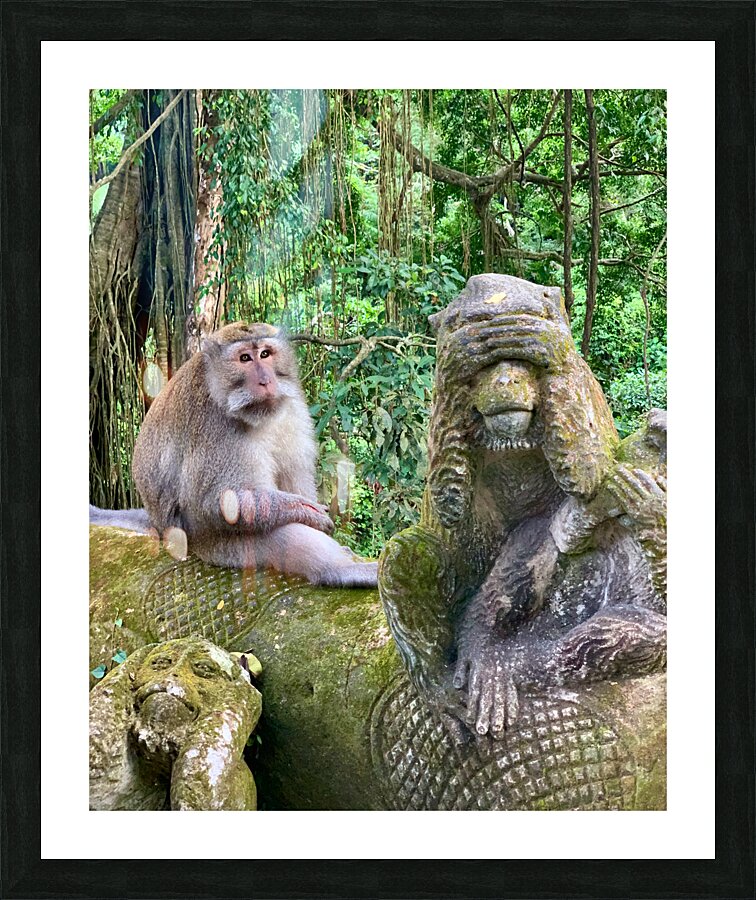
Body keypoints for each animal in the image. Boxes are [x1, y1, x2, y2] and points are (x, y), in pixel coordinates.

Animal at [91, 322, 378, 588]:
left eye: (265, 354)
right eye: (244, 358)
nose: (266, 380)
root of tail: (160, 526)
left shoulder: (292, 406)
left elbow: (294, 474)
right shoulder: (216, 427)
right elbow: (215, 503)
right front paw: (304, 510)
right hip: (216, 546)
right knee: (276, 530)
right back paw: (337, 570)